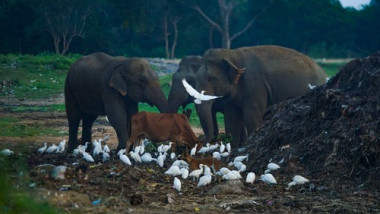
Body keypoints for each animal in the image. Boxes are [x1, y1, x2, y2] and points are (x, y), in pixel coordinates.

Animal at [194, 45, 328, 149]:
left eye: (210, 79)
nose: (202, 141)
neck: (232, 54)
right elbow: (232, 118)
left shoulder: (255, 87)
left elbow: (251, 116)